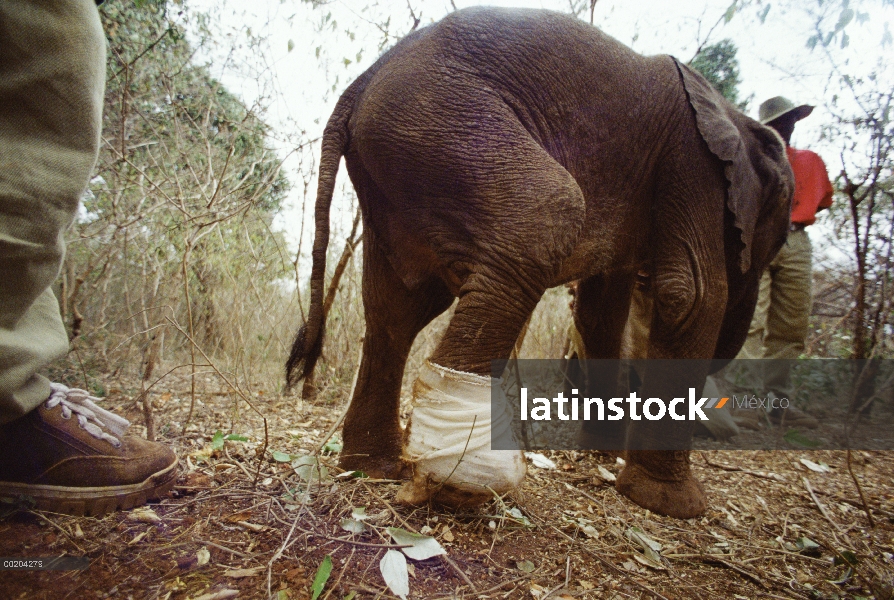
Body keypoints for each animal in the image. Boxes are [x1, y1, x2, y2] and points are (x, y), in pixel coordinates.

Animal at [286, 7, 792, 516]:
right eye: (784, 218)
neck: (733, 114)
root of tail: (359, 84)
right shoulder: (691, 159)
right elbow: (692, 294)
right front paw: (673, 506)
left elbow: (601, 311)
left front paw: (604, 456)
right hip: (440, 124)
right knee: (546, 216)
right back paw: (456, 483)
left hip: (403, 159)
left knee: (398, 307)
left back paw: (374, 469)